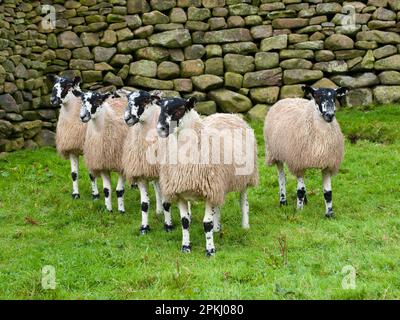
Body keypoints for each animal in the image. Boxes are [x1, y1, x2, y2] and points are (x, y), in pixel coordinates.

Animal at [120, 89, 173, 234]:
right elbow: (144, 204)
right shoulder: (141, 174)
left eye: (144, 101)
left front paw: (168, 225)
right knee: (157, 189)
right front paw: (144, 227)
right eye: (128, 100)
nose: (127, 118)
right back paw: (159, 210)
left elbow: (167, 203)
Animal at [155, 96, 258, 256]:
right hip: (220, 184)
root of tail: (229, 114)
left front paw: (210, 250)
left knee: (244, 202)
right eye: (160, 107)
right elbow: (185, 222)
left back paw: (245, 226)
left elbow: (206, 224)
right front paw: (186, 247)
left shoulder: (210, 190)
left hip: (245, 178)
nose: (160, 129)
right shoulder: (180, 193)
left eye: (180, 109)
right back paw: (217, 228)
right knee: (218, 205)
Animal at [264, 85, 348, 218]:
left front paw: (329, 214)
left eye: (335, 97)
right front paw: (299, 211)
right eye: (317, 96)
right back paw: (283, 201)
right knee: (282, 179)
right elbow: (300, 190)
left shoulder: (327, 163)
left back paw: (305, 201)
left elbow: (328, 192)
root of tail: (289, 98)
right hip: (275, 154)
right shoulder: (298, 163)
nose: (330, 115)